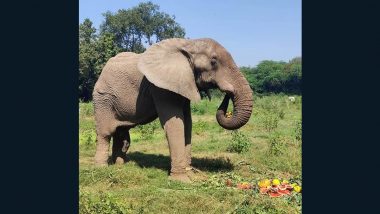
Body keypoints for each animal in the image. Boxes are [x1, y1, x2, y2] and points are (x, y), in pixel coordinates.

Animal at [91, 37, 252, 181]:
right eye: (213, 62)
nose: (228, 93)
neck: (188, 44)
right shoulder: (160, 88)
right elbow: (175, 123)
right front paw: (181, 180)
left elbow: (187, 123)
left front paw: (190, 174)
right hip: (103, 99)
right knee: (106, 133)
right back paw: (101, 168)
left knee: (122, 134)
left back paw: (120, 165)